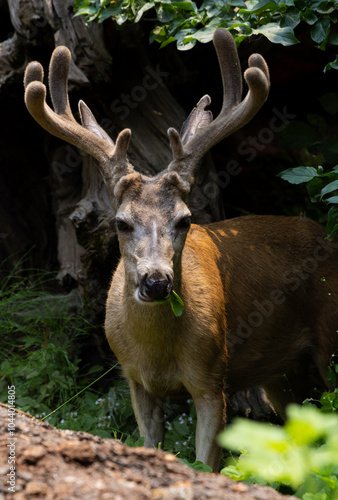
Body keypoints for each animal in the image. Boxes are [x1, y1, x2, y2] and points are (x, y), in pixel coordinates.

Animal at [23, 29, 338, 470]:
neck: (159, 354)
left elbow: (207, 462)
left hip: (330, 337)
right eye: (121, 222)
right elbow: (149, 445)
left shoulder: (212, 377)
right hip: (281, 373)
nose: (156, 282)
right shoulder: (134, 379)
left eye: (185, 220)